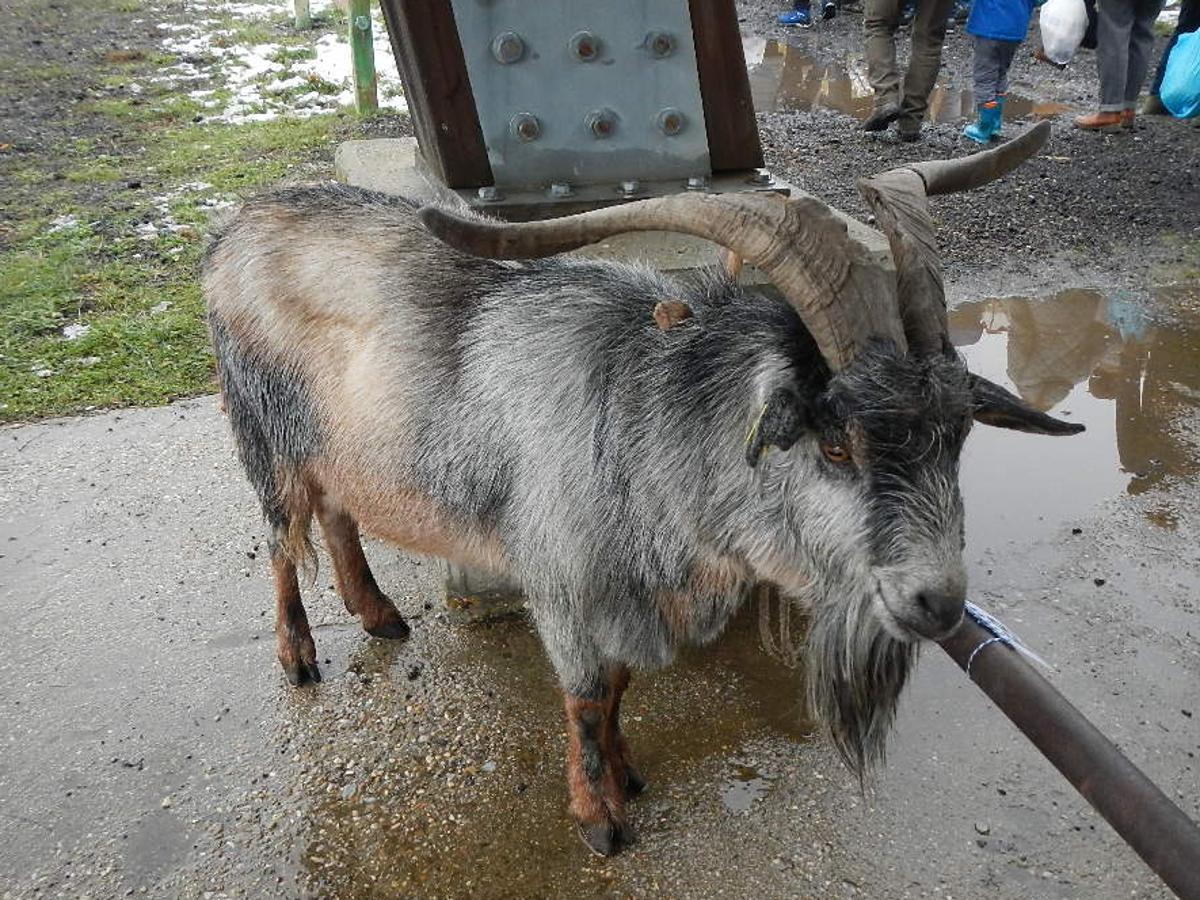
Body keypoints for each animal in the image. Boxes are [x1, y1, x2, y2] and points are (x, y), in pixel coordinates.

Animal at [201, 121, 1084, 859]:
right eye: (836, 443)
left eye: (958, 434)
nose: (940, 603)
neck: (644, 424)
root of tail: (236, 225)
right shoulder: (562, 580)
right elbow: (588, 696)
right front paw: (599, 820)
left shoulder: (630, 590)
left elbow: (622, 687)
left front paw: (627, 776)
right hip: (265, 431)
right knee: (282, 540)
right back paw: (299, 656)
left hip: (334, 445)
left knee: (337, 513)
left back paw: (379, 614)